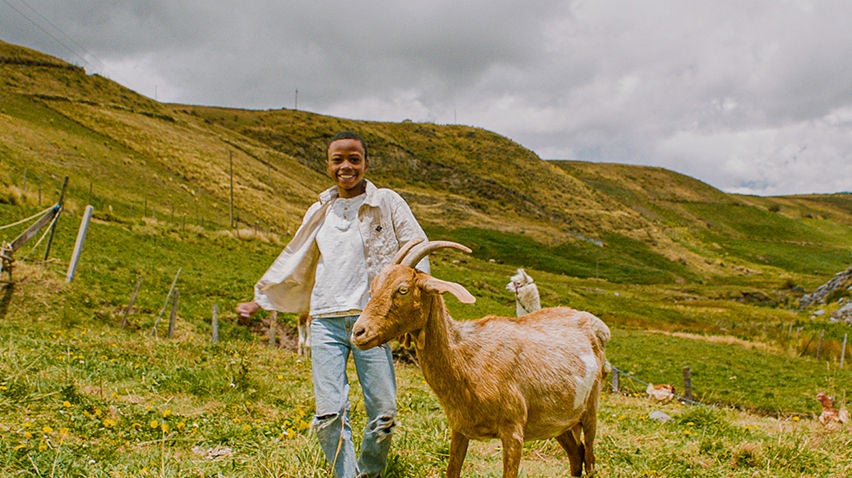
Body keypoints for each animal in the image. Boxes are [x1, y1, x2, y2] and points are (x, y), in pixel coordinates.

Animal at [351, 239, 610, 477]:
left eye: (402, 289)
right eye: (373, 287)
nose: (358, 332)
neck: (468, 357)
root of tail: (593, 326)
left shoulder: (513, 431)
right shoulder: (459, 428)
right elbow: (452, 470)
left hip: (590, 408)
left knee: (589, 459)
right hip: (559, 422)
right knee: (576, 457)